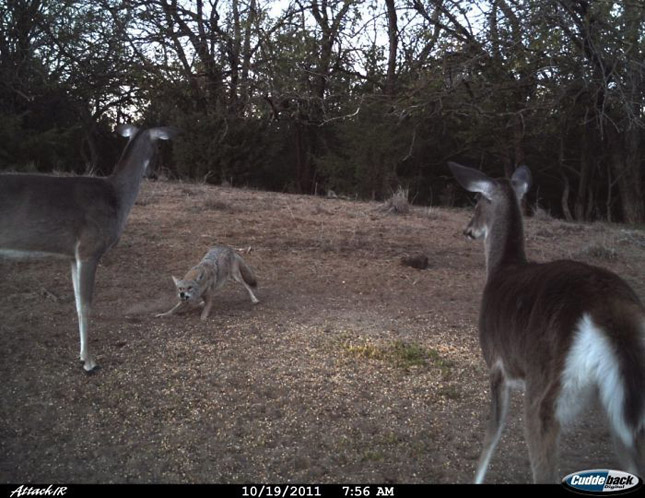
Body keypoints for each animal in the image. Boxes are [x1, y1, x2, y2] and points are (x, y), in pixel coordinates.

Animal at [0, 124, 176, 374]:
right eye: (159, 147)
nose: (156, 174)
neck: (116, 198)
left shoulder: (73, 256)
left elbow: (76, 303)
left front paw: (83, 355)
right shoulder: (89, 249)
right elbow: (85, 306)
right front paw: (90, 361)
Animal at [448, 162, 644, 482]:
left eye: (477, 200)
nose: (468, 230)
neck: (501, 268)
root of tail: (607, 308)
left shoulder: (497, 364)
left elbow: (492, 435)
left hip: (545, 389)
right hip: (623, 408)